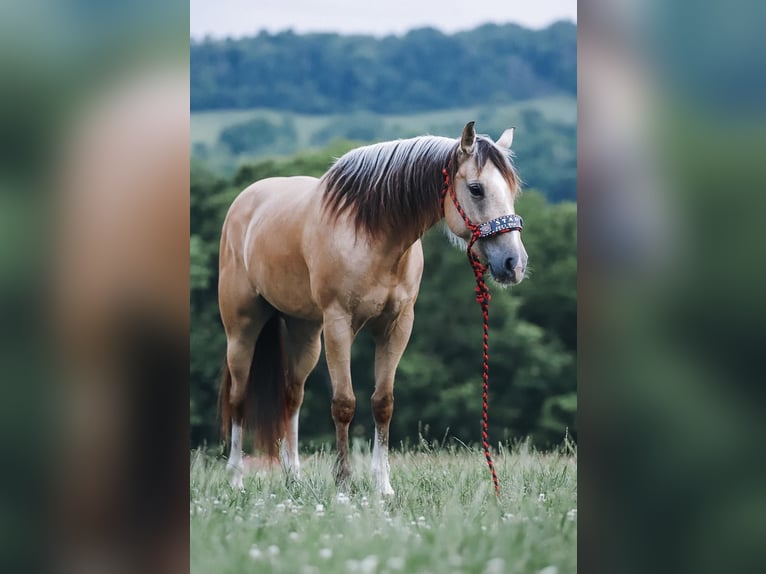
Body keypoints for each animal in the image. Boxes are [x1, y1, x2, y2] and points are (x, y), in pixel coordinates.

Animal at [216, 121, 528, 496]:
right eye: (476, 189)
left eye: (512, 189)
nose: (513, 263)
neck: (372, 233)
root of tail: (244, 201)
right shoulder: (338, 323)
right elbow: (343, 403)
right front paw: (343, 486)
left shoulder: (397, 325)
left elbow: (383, 403)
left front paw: (384, 487)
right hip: (242, 329)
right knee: (238, 397)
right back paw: (235, 480)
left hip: (305, 332)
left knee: (292, 396)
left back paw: (294, 478)